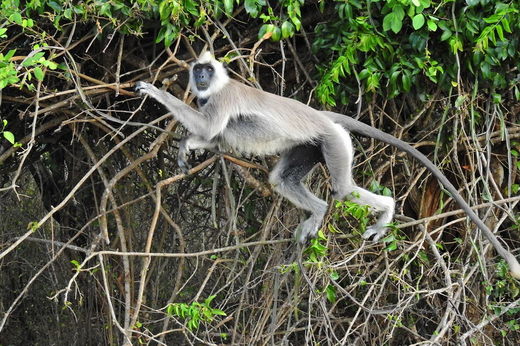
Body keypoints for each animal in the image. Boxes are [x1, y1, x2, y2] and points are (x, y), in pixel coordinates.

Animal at [135, 51, 520, 278]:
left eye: (207, 71)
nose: (200, 79)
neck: (215, 89)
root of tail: (322, 116)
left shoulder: (223, 98)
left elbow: (210, 129)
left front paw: (156, 93)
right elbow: (214, 137)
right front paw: (187, 146)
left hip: (334, 142)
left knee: (345, 190)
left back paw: (386, 211)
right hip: (310, 145)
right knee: (281, 180)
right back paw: (318, 212)